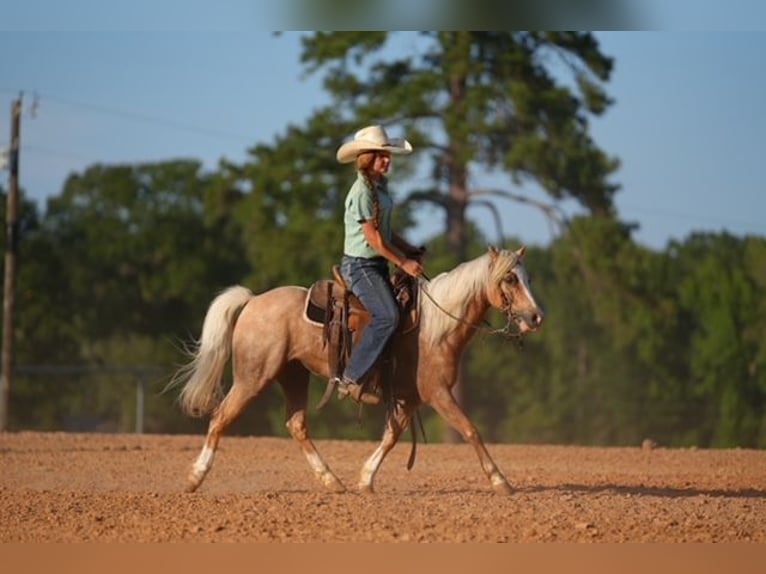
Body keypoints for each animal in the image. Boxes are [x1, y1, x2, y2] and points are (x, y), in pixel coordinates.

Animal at [171, 244, 544, 495]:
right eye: (510, 278)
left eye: (528, 277)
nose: (536, 317)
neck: (435, 327)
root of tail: (252, 301)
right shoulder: (437, 393)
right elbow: (470, 430)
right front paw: (501, 481)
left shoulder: (409, 398)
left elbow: (391, 436)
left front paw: (365, 479)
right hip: (252, 377)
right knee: (220, 417)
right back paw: (194, 477)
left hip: (294, 376)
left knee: (297, 425)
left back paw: (332, 480)